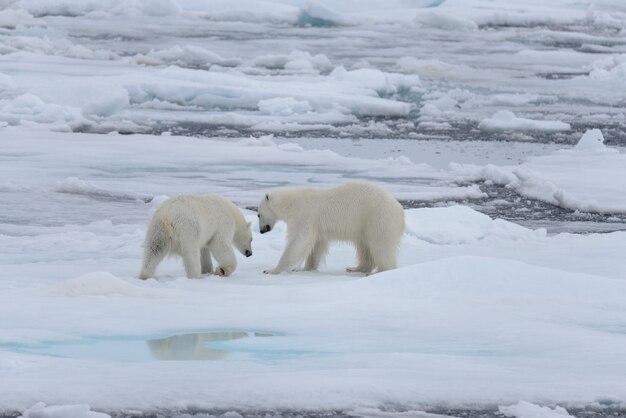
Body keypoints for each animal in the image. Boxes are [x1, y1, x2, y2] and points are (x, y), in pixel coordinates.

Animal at [256, 180, 402, 274]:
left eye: (258, 214)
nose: (261, 231)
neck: (291, 203)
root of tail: (399, 209)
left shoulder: (304, 215)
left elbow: (299, 241)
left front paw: (271, 270)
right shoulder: (317, 227)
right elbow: (316, 246)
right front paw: (303, 268)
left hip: (377, 218)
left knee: (381, 245)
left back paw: (380, 271)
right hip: (365, 225)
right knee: (364, 247)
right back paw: (355, 268)